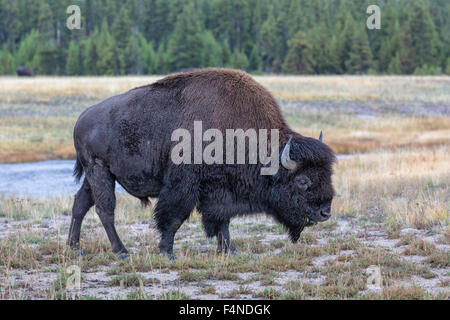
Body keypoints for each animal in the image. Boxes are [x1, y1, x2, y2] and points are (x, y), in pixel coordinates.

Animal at [68, 67, 336, 258]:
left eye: (328, 174)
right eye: (302, 180)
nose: (325, 212)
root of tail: (81, 118)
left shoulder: (221, 191)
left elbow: (222, 220)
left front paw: (229, 251)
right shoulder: (184, 186)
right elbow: (174, 218)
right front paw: (167, 252)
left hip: (97, 175)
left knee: (81, 204)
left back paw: (75, 247)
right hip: (100, 171)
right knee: (105, 209)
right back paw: (122, 251)